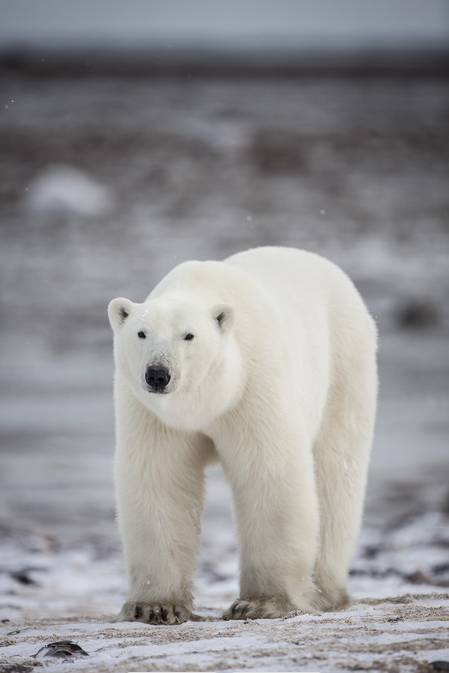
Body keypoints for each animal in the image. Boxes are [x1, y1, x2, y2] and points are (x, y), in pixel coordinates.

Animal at [107, 247, 374, 624]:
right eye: (141, 333)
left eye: (188, 335)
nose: (158, 374)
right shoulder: (154, 416)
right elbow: (160, 480)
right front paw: (155, 606)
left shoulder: (253, 387)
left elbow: (268, 474)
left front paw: (262, 603)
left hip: (345, 367)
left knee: (336, 476)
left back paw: (324, 591)